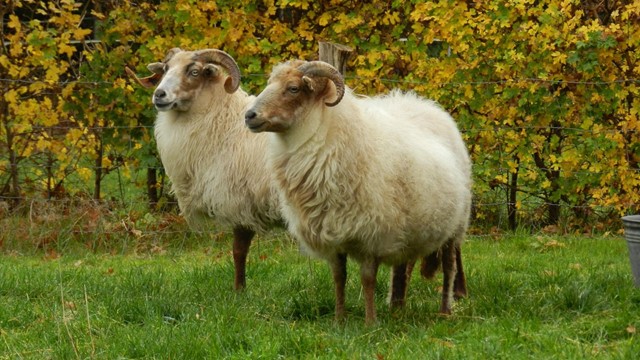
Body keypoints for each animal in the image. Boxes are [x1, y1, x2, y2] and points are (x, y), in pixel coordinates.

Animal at [127, 47, 280, 290]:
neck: (225, 124)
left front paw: (239, 292)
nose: (159, 94)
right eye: (166, 68)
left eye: (194, 72)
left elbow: (239, 252)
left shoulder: (239, 203)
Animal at [242, 59, 472, 324]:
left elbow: (368, 279)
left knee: (449, 266)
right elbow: (338, 277)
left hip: (455, 225)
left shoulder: (372, 234)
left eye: (293, 88)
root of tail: (427, 106)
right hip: (408, 225)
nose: (249, 115)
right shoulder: (333, 236)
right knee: (402, 266)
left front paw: (370, 322)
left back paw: (444, 310)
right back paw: (397, 307)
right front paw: (339, 319)